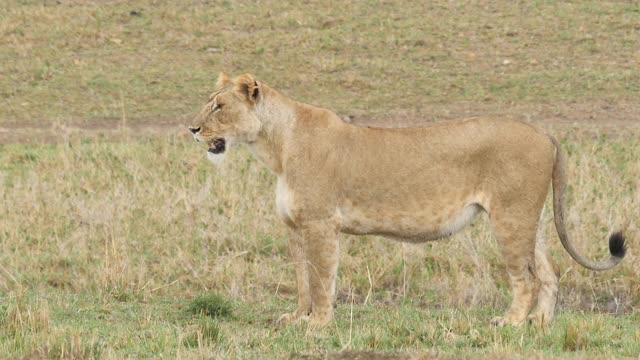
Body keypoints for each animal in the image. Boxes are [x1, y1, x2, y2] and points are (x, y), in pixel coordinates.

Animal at [188, 71, 628, 328]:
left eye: (219, 106)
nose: (192, 129)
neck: (274, 146)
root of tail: (545, 133)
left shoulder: (320, 224)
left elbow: (322, 279)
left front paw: (319, 325)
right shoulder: (295, 227)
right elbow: (301, 279)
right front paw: (297, 318)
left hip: (510, 218)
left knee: (528, 278)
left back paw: (511, 323)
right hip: (526, 220)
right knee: (549, 274)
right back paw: (540, 326)